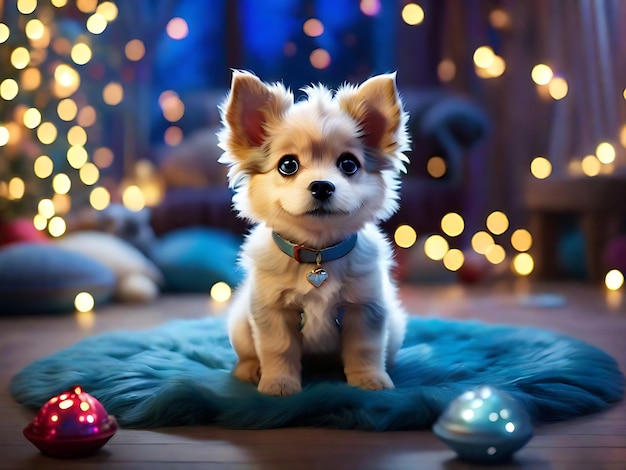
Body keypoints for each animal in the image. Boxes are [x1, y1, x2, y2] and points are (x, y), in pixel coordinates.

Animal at [218, 70, 410, 396]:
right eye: (288, 165)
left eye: (349, 164)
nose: (322, 186)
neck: (318, 253)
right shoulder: (272, 313)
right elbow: (278, 350)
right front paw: (279, 385)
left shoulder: (366, 310)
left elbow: (365, 350)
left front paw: (369, 381)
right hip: (240, 324)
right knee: (246, 354)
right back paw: (249, 371)